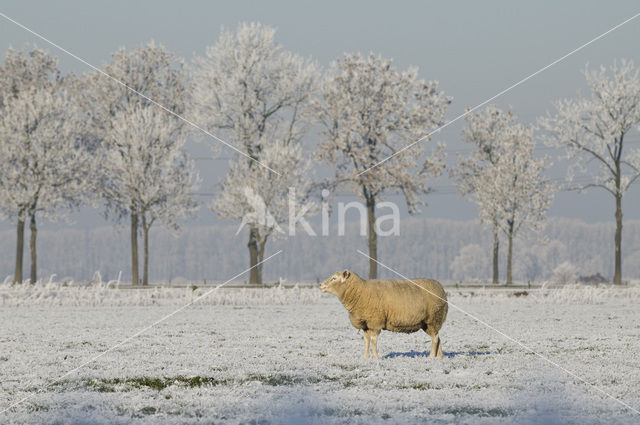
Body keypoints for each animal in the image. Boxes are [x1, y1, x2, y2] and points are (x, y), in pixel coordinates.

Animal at [318, 270, 448, 356]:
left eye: (334, 278)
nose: (320, 285)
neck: (360, 291)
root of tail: (441, 288)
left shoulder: (375, 321)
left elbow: (373, 340)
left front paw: (376, 358)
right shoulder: (366, 324)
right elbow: (366, 341)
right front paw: (365, 358)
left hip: (434, 318)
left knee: (435, 338)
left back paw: (431, 357)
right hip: (427, 323)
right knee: (438, 338)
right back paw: (439, 358)